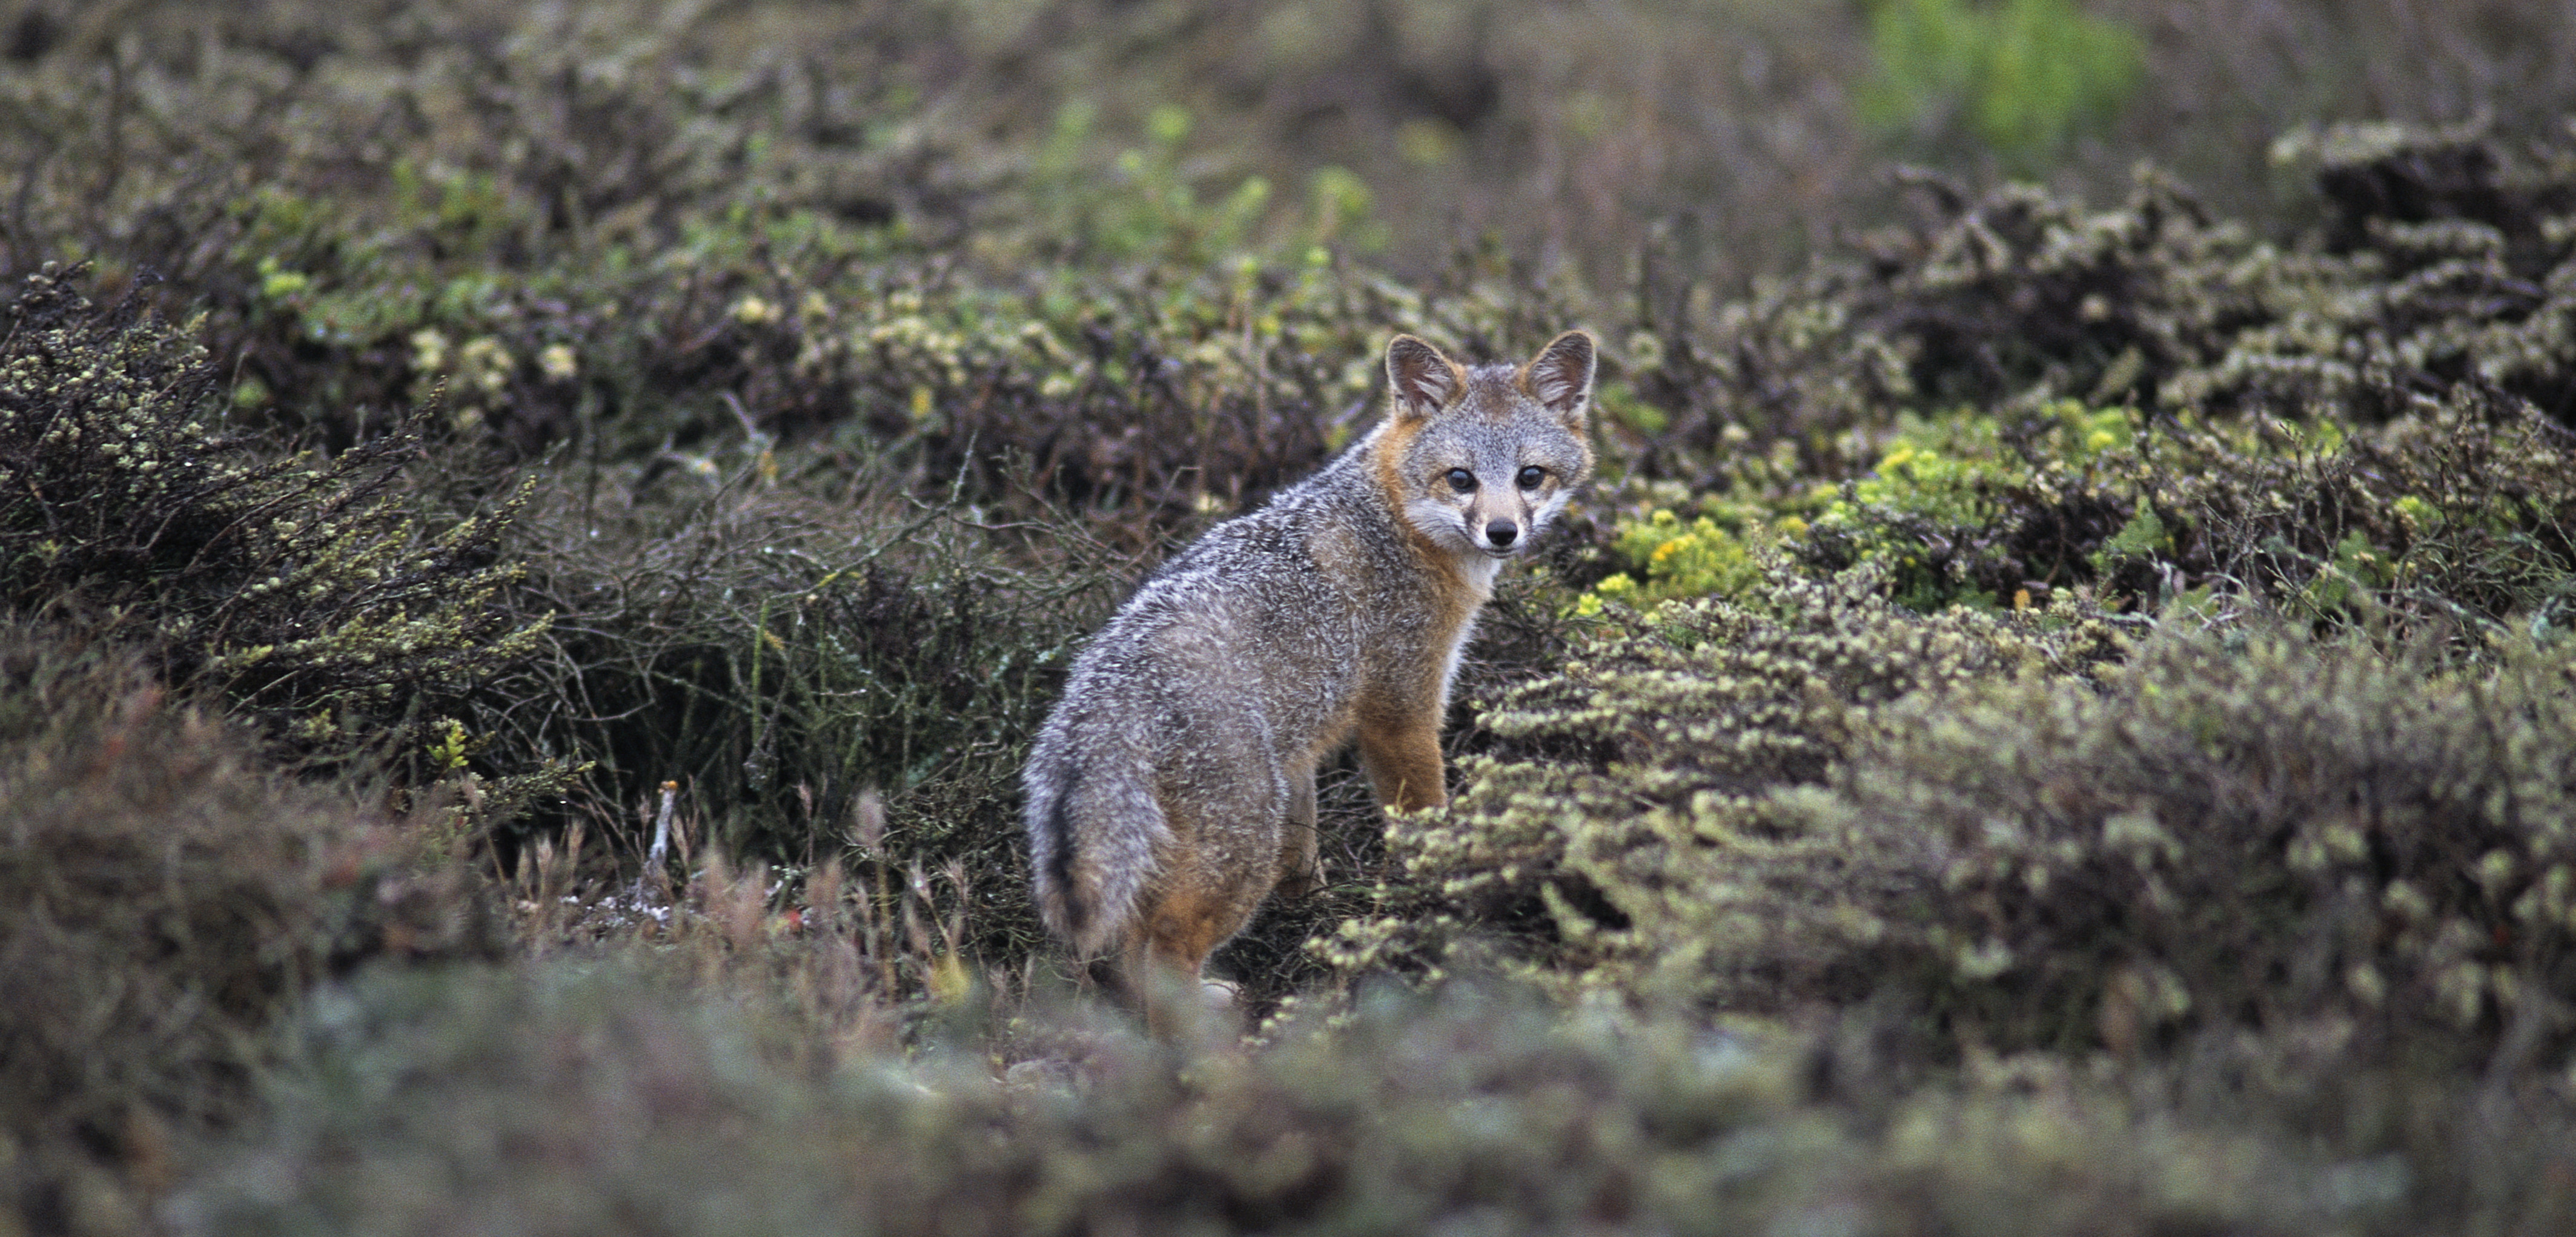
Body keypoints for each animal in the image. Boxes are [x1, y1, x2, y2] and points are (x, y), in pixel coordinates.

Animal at [1023, 329, 1597, 1008]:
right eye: (1460, 479)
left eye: (1530, 476)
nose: (1502, 532)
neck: (1392, 518)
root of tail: (1106, 689)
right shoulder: (1401, 710)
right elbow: (1424, 816)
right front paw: (1442, 884)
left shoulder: (1299, 750)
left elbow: (1304, 851)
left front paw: (1316, 910)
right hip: (1239, 850)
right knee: (1164, 951)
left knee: (1128, 956)